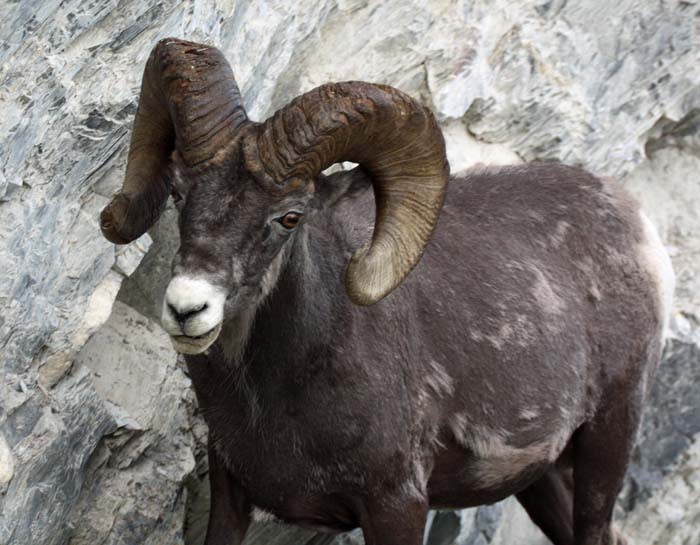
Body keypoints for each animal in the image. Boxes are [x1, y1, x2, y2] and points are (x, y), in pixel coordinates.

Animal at [101, 38, 674, 545]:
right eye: (179, 193)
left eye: (290, 217)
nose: (187, 308)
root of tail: (637, 225)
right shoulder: (231, 494)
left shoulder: (396, 505)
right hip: (545, 479)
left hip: (608, 441)